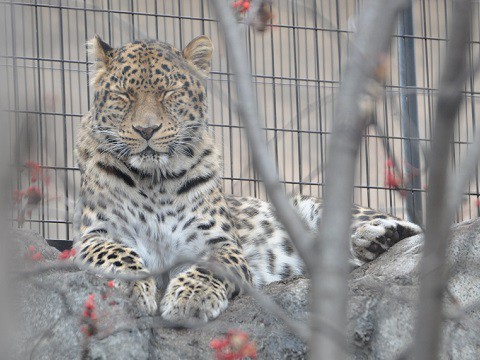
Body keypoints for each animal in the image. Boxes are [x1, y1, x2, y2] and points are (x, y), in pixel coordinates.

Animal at [73, 35, 422, 322]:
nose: (146, 129)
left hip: (310, 204)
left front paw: (191, 298)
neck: (154, 180)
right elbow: (117, 254)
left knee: (413, 230)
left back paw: (377, 236)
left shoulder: (219, 241)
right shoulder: (94, 235)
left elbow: (209, 268)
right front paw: (132, 288)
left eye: (169, 92)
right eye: (124, 94)